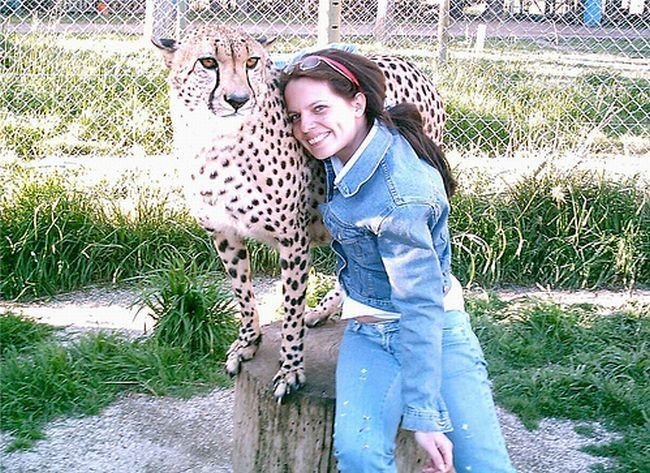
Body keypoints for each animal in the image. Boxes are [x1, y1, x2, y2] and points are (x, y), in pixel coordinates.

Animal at [154, 22, 442, 398]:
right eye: (207, 62)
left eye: (251, 62)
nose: (238, 100)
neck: (214, 140)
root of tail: (406, 61)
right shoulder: (224, 233)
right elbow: (242, 293)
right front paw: (248, 343)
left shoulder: (292, 238)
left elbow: (291, 306)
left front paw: (290, 369)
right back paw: (323, 311)